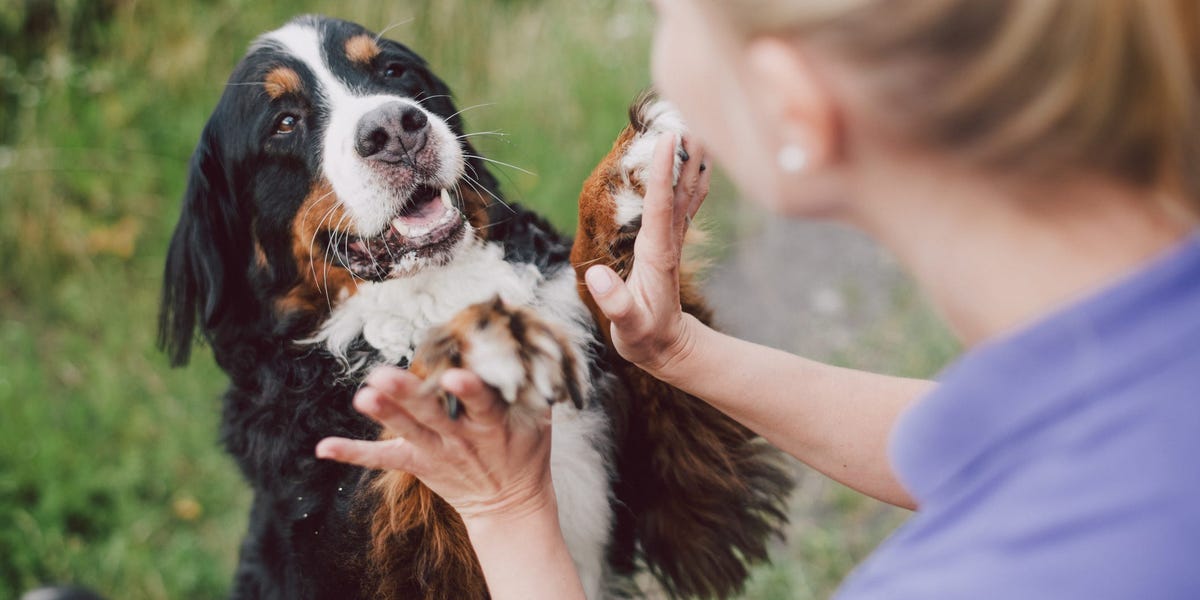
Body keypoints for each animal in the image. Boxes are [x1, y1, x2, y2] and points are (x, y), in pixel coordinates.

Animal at [159, 14, 796, 600]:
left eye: (392, 71)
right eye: (284, 123)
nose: (394, 128)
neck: (436, 288)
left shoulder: (681, 497)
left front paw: (621, 180)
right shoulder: (376, 556)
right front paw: (476, 342)